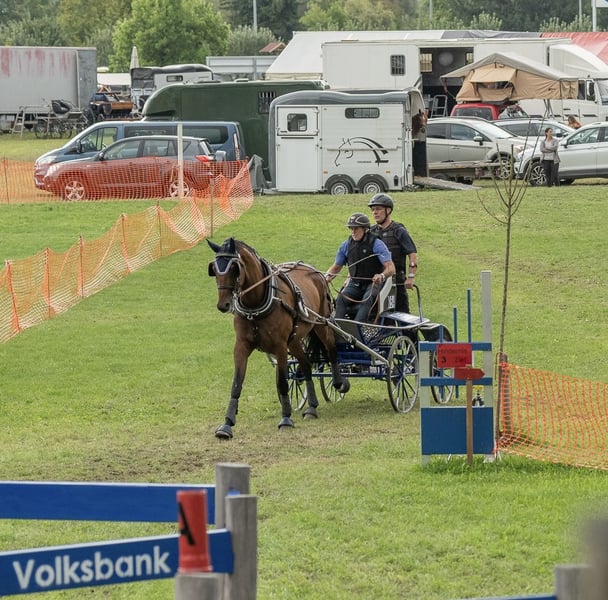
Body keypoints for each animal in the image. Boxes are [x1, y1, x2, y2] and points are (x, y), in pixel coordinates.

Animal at [207, 237, 350, 439]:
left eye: (234, 267)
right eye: (214, 268)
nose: (223, 304)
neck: (255, 305)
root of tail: (315, 272)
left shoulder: (280, 347)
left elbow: (282, 383)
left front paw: (286, 419)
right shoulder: (241, 346)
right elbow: (236, 384)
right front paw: (227, 424)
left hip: (322, 324)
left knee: (331, 350)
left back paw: (339, 383)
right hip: (295, 340)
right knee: (306, 364)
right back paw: (311, 407)